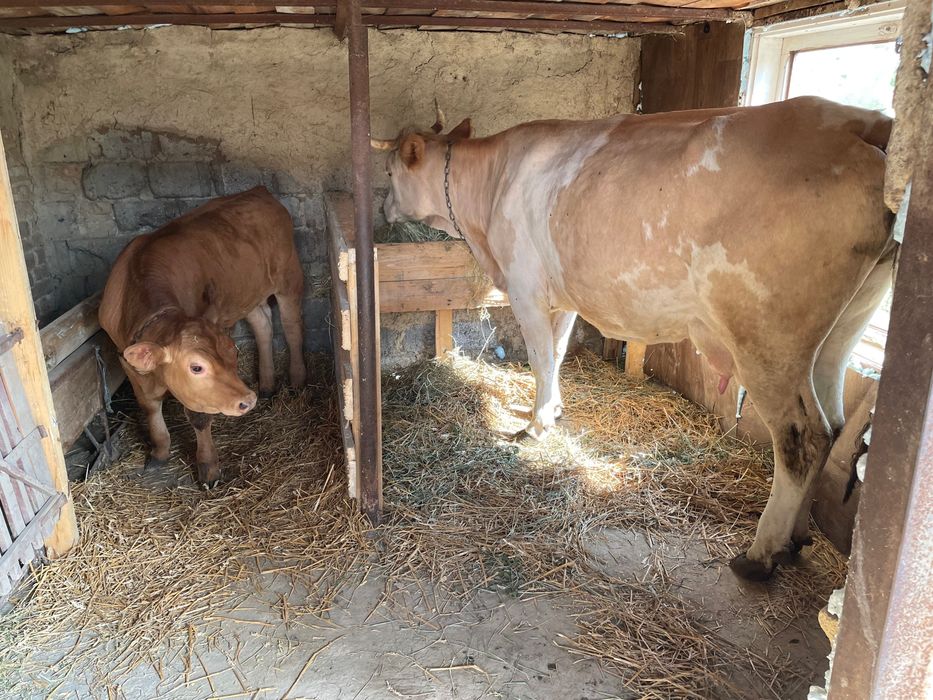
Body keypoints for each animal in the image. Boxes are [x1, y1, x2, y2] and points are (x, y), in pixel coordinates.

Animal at [99, 187, 307, 487]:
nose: (248, 400)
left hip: (288, 276)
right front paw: (159, 453)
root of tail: (259, 190)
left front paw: (208, 468)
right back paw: (267, 384)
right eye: (196, 367)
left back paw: (297, 380)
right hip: (246, 294)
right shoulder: (126, 360)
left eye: (234, 352)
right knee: (263, 325)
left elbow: (198, 417)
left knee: (291, 328)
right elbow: (149, 406)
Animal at [372, 97, 896, 581]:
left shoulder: (525, 290)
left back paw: (761, 553)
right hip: (841, 329)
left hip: (767, 341)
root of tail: (857, 122)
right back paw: (797, 538)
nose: (383, 207)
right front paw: (554, 411)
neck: (490, 189)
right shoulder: (564, 296)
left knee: (802, 439)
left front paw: (536, 426)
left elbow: (541, 359)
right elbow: (557, 354)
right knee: (833, 425)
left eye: (391, 170)